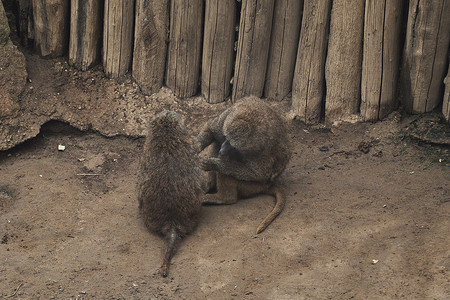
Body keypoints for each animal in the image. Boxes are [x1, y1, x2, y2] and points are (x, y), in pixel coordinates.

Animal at [198, 97, 292, 233]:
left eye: (233, 145)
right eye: (226, 138)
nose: (223, 149)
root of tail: (268, 185)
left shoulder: (262, 147)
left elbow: (256, 173)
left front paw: (214, 164)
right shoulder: (226, 119)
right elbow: (211, 128)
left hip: (252, 186)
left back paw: (224, 198)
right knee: (216, 141)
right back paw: (209, 186)